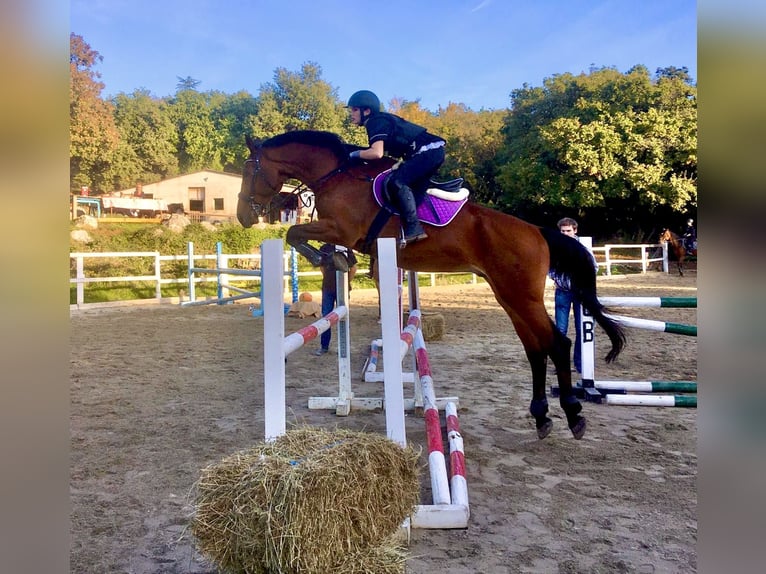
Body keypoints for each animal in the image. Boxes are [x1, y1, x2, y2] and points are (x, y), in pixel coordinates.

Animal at [237, 130, 628, 440]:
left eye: (248, 170)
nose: (243, 217)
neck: (336, 174)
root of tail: (538, 231)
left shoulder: (341, 230)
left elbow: (294, 232)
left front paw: (327, 259)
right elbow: (298, 234)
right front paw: (336, 260)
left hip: (522, 296)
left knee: (557, 345)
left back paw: (573, 415)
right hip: (509, 297)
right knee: (535, 349)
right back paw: (541, 416)